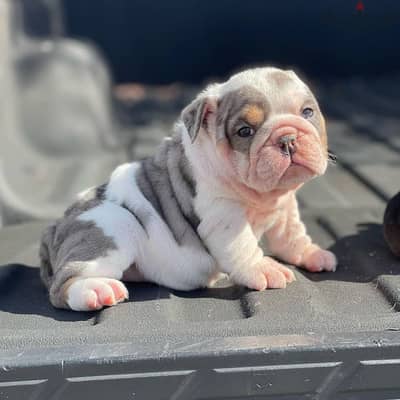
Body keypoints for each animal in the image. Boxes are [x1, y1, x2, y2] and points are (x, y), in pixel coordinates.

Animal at [39, 65, 334, 310]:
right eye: (244, 131)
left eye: (307, 112)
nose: (287, 139)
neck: (265, 196)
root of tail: (55, 228)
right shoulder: (225, 217)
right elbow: (243, 246)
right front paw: (263, 267)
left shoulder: (285, 209)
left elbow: (292, 235)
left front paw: (311, 253)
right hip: (115, 226)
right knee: (62, 286)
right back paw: (96, 291)